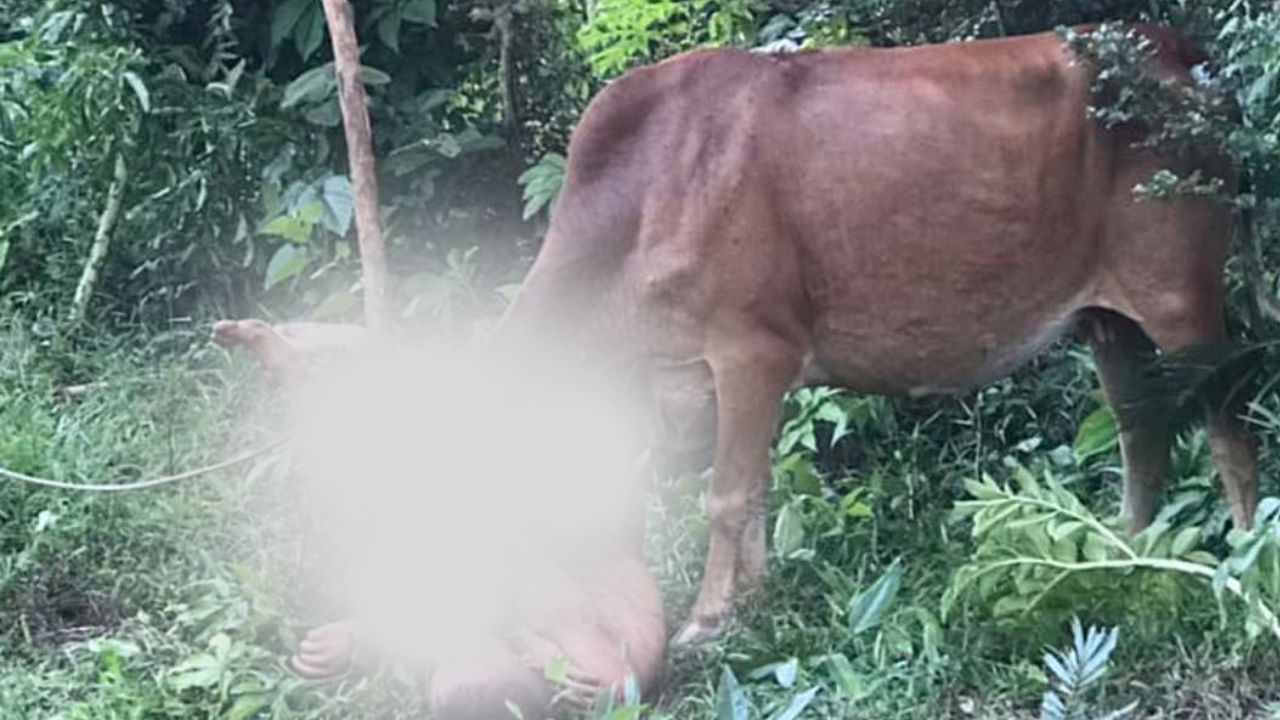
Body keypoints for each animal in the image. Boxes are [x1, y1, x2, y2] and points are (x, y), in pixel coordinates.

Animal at [494, 24, 1257, 645]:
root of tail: (1184, 55)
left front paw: (707, 619)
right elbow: (756, 483)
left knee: (1228, 423)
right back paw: (1125, 549)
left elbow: (727, 494)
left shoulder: (751, 350)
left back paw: (1249, 561)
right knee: (1139, 425)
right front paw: (757, 593)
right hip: (1107, 318)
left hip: (1180, 294)